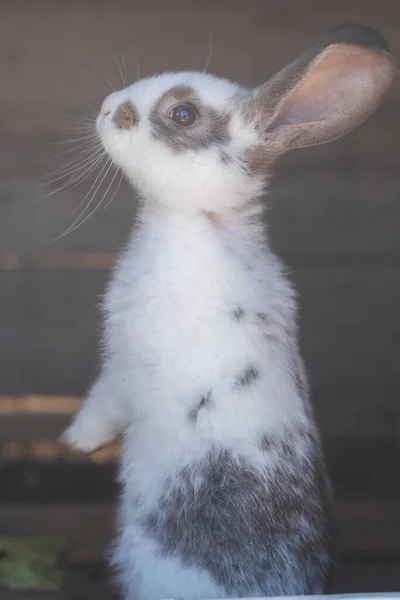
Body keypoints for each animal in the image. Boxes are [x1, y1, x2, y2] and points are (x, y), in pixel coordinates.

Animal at [62, 25, 396, 600]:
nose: (107, 108)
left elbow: (102, 403)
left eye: (182, 115)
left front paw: (76, 441)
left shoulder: (125, 368)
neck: (203, 221)